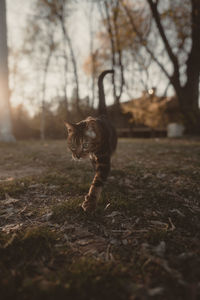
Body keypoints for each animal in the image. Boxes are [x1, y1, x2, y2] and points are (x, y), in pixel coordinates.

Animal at [65, 69, 117, 212]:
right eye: (72, 145)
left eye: (85, 145)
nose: (77, 156)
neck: (93, 151)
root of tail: (103, 115)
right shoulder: (93, 160)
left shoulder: (104, 161)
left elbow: (97, 182)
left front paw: (90, 202)